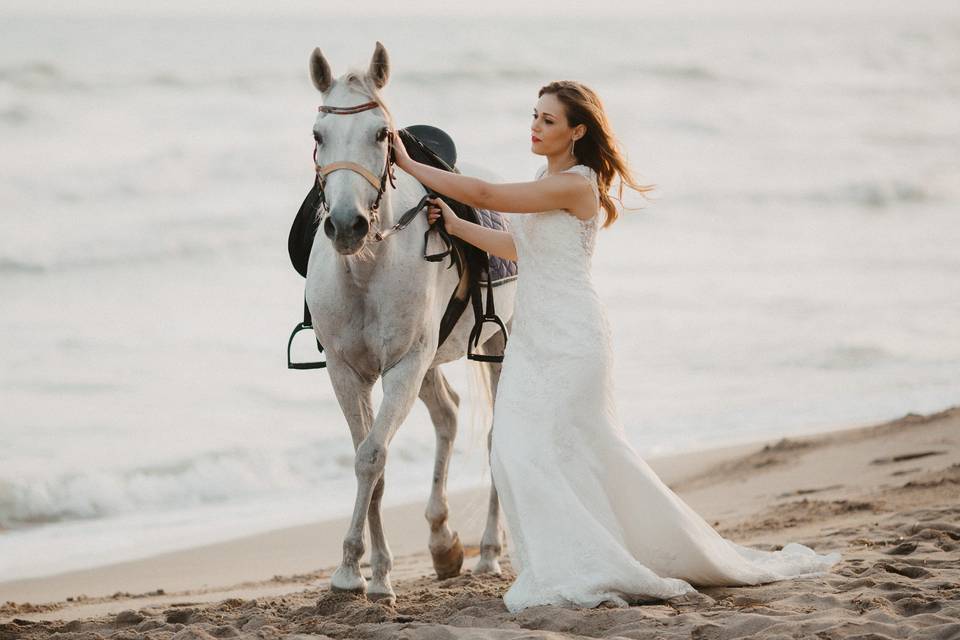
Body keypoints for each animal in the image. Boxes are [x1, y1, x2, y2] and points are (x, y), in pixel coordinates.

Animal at [308, 41, 516, 604]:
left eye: (382, 134)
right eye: (318, 135)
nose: (347, 226)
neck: (366, 268)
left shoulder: (401, 365)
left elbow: (372, 457)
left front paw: (357, 574)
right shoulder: (347, 371)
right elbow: (369, 461)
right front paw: (369, 573)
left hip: (496, 346)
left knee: (496, 436)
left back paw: (489, 552)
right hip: (431, 359)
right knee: (447, 414)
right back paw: (443, 542)